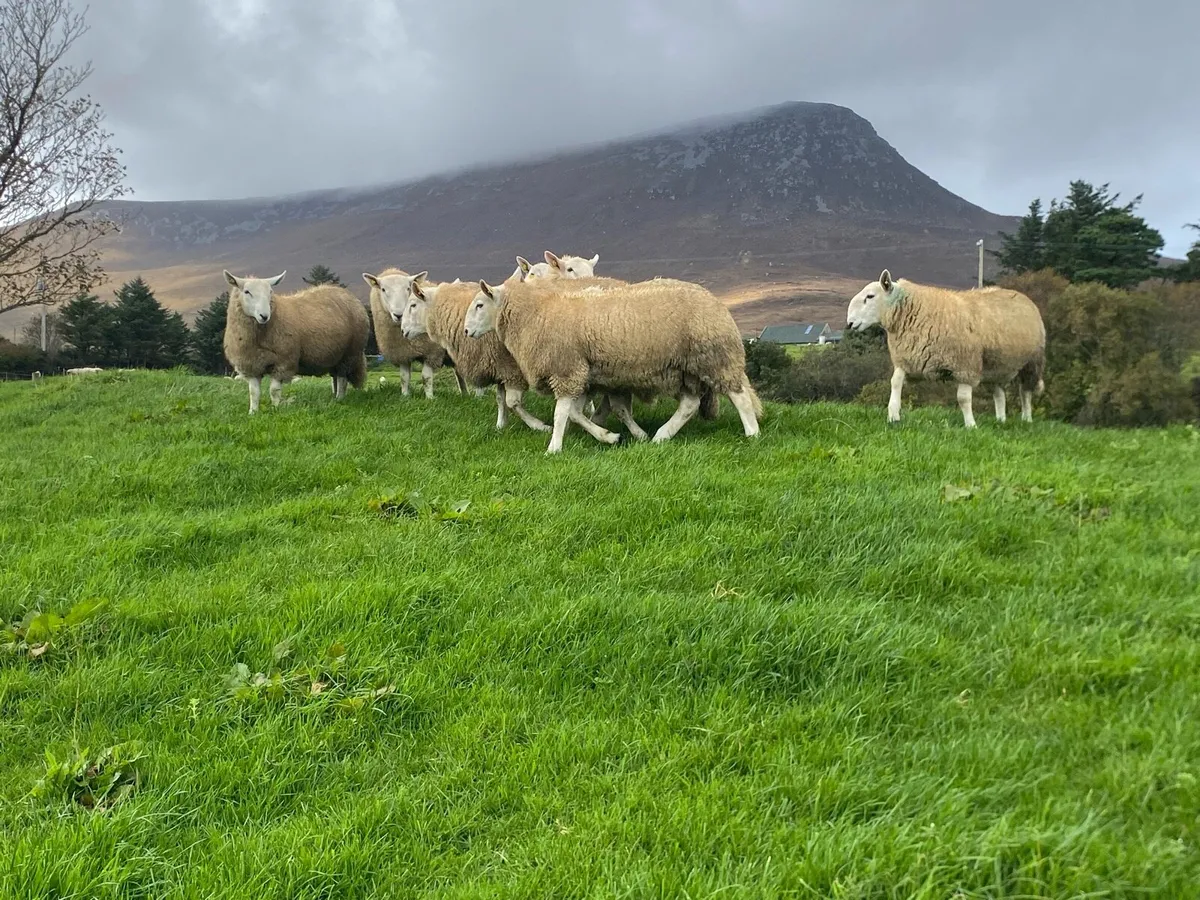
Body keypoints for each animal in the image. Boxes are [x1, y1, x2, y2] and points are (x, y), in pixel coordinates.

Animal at [222, 270, 370, 414]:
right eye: (247, 292)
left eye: (270, 291)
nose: (264, 316)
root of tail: (345, 293)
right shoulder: (251, 365)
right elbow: (254, 393)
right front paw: (253, 412)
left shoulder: (283, 362)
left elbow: (274, 391)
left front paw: (276, 409)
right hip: (335, 356)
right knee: (335, 377)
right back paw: (334, 397)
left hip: (349, 353)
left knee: (342, 378)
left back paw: (339, 398)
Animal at [362, 268, 469, 398]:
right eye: (383, 289)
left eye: (408, 288)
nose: (399, 314)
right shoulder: (403, 354)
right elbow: (404, 378)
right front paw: (405, 396)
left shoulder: (432, 352)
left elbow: (426, 377)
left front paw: (430, 398)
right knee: (459, 373)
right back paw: (465, 394)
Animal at [399, 274, 551, 433]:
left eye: (413, 305)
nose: (402, 331)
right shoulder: (499, 366)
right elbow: (501, 399)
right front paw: (501, 425)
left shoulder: (511, 368)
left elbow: (512, 402)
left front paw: (539, 426)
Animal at [463, 277, 762, 454]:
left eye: (479, 304)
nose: (465, 332)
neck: (536, 314)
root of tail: (717, 302)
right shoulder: (581, 373)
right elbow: (575, 413)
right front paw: (609, 436)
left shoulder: (567, 370)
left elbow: (561, 414)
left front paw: (554, 447)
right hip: (683, 369)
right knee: (689, 405)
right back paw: (662, 435)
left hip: (715, 357)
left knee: (740, 397)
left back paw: (752, 433)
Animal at [846, 269, 1046, 428]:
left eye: (870, 296)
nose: (849, 323)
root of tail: (1021, 295)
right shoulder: (908, 360)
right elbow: (895, 383)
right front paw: (893, 416)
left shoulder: (965, 365)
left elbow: (963, 399)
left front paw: (971, 426)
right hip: (995, 365)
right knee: (999, 393)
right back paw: (1001, 420)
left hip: (1031, 363)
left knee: (1025, 392)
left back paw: (1026, 419)